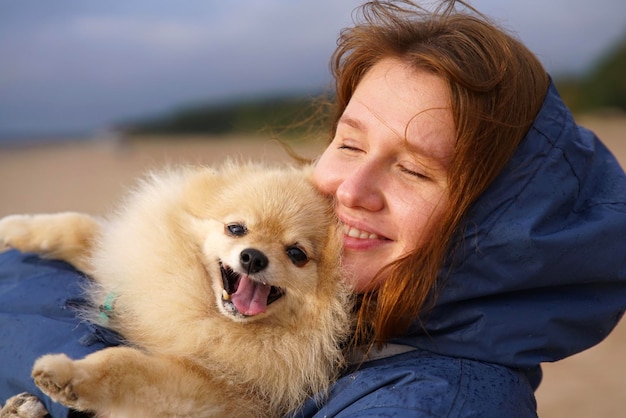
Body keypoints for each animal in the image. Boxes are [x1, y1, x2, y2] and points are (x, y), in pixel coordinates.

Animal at [0, 161, 352, 418]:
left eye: (297, 254)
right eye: (236, 228)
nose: (253, 257)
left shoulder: (220, 390)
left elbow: (126, 362)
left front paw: (69, 375)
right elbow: (76, 226)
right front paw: (12, 229)